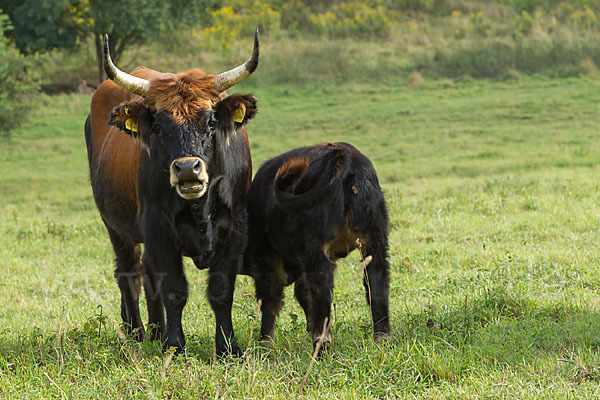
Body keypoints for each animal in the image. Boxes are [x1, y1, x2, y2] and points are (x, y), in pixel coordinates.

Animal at [85, 31, 260, 356]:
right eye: (160, 127)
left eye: (211, 122)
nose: (188, 168)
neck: (199, 208)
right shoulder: (158, 226)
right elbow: (173, 290)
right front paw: (175, 345)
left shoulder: (235, 227)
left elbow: (221, 291)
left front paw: (227, 347)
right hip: (115, 226)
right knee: (129, 273)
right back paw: (138, 332)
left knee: (146, 273)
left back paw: (156, 330)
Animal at [241, 142, 392, 354]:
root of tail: (341, 151)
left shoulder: (266, 261)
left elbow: (270, 302)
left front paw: (265, 343)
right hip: (374, 241)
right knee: (377, 284)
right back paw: (382, 338)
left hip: (317, 250)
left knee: (321, 295)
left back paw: (320, 347)